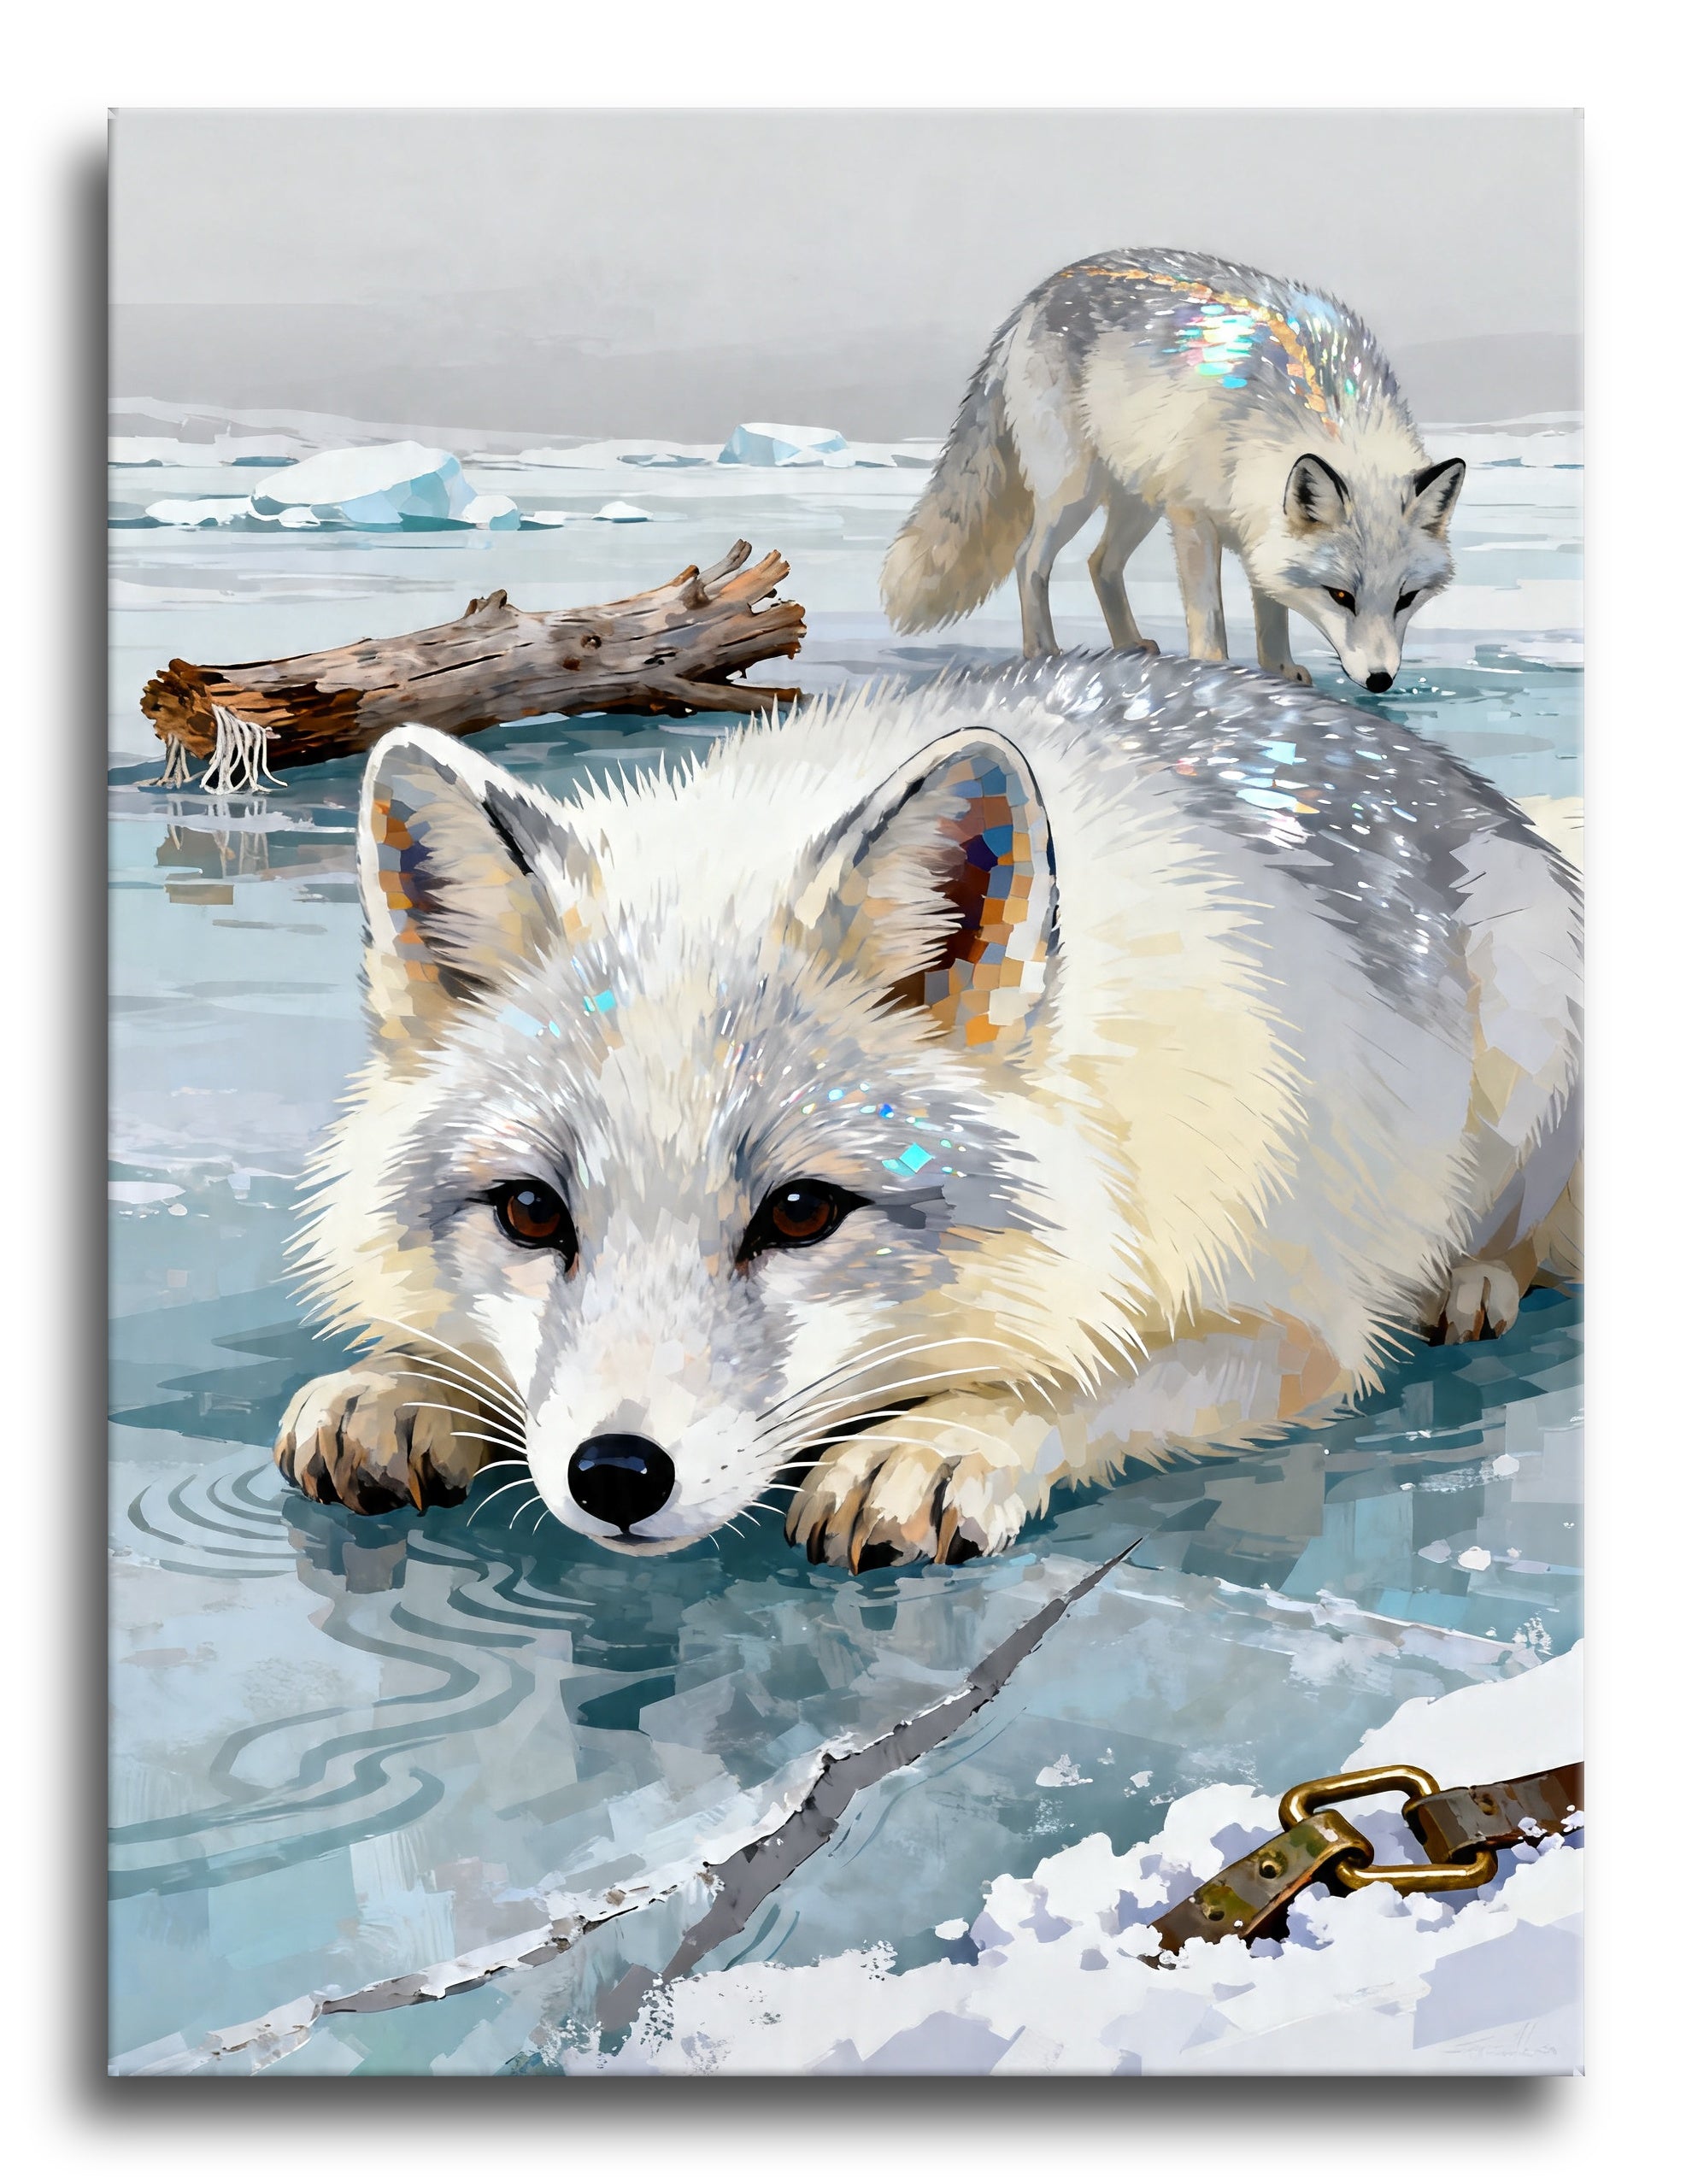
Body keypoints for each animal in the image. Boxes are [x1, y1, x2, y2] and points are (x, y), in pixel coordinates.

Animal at [274, 651, 1581, 1572]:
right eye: (533, 1213)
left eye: (802, 1212)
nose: (616, 1476)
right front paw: (406, 1386)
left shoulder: (1293, 1326)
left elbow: (1079, 1377)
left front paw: (943, 1439)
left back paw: (1471, 1284)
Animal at [881, 246, 1466, 694]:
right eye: (1341, 596)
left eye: (1407, 598)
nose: (1380, 681)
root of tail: (1039, 295)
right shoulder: (1193, 514)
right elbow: (1210, 617)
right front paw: (1216, 673)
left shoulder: (1257, 522)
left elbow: (1271, 610)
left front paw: (1277, 671)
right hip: (1075, 494)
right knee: (1030, 562)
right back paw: (1043, 652)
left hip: (1137, 502)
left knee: (1100, 564)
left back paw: (1128, 646)